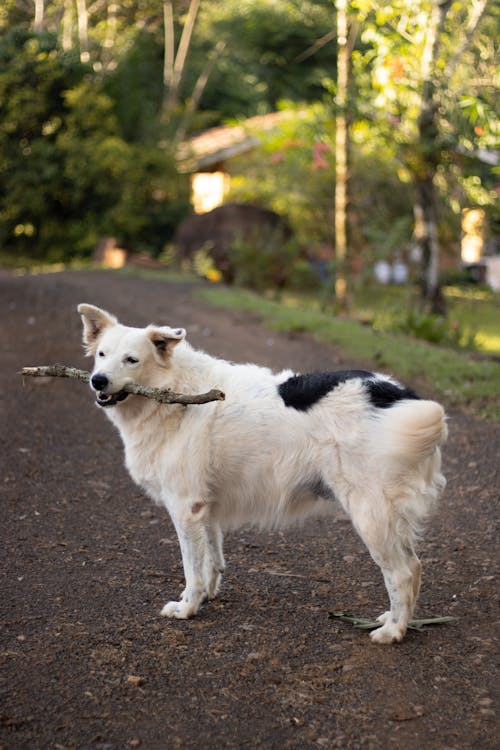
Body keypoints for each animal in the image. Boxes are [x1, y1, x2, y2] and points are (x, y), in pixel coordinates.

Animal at [79, 306, 450, 648]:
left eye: (131, 360)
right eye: (101, 355)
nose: (98, 380)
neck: (172, 392)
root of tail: (398, 396)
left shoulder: (186, 508)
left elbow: (192, 570)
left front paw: (187, 608)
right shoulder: (205, 508)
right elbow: (212, 561)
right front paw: (206, 596)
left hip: (370, 515)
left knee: (401, 572)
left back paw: (394, 631)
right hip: (388, 517)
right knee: (414, 567)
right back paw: (396, 619)